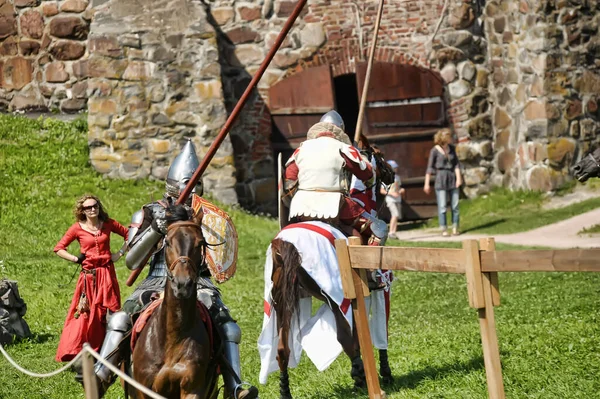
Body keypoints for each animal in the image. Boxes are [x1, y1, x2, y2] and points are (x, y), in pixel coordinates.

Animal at [130, 206, 219, 399]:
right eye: (168, 242)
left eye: (200, 243)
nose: (182, 284)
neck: (173, 336)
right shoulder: (144, 390)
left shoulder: (193, 389)